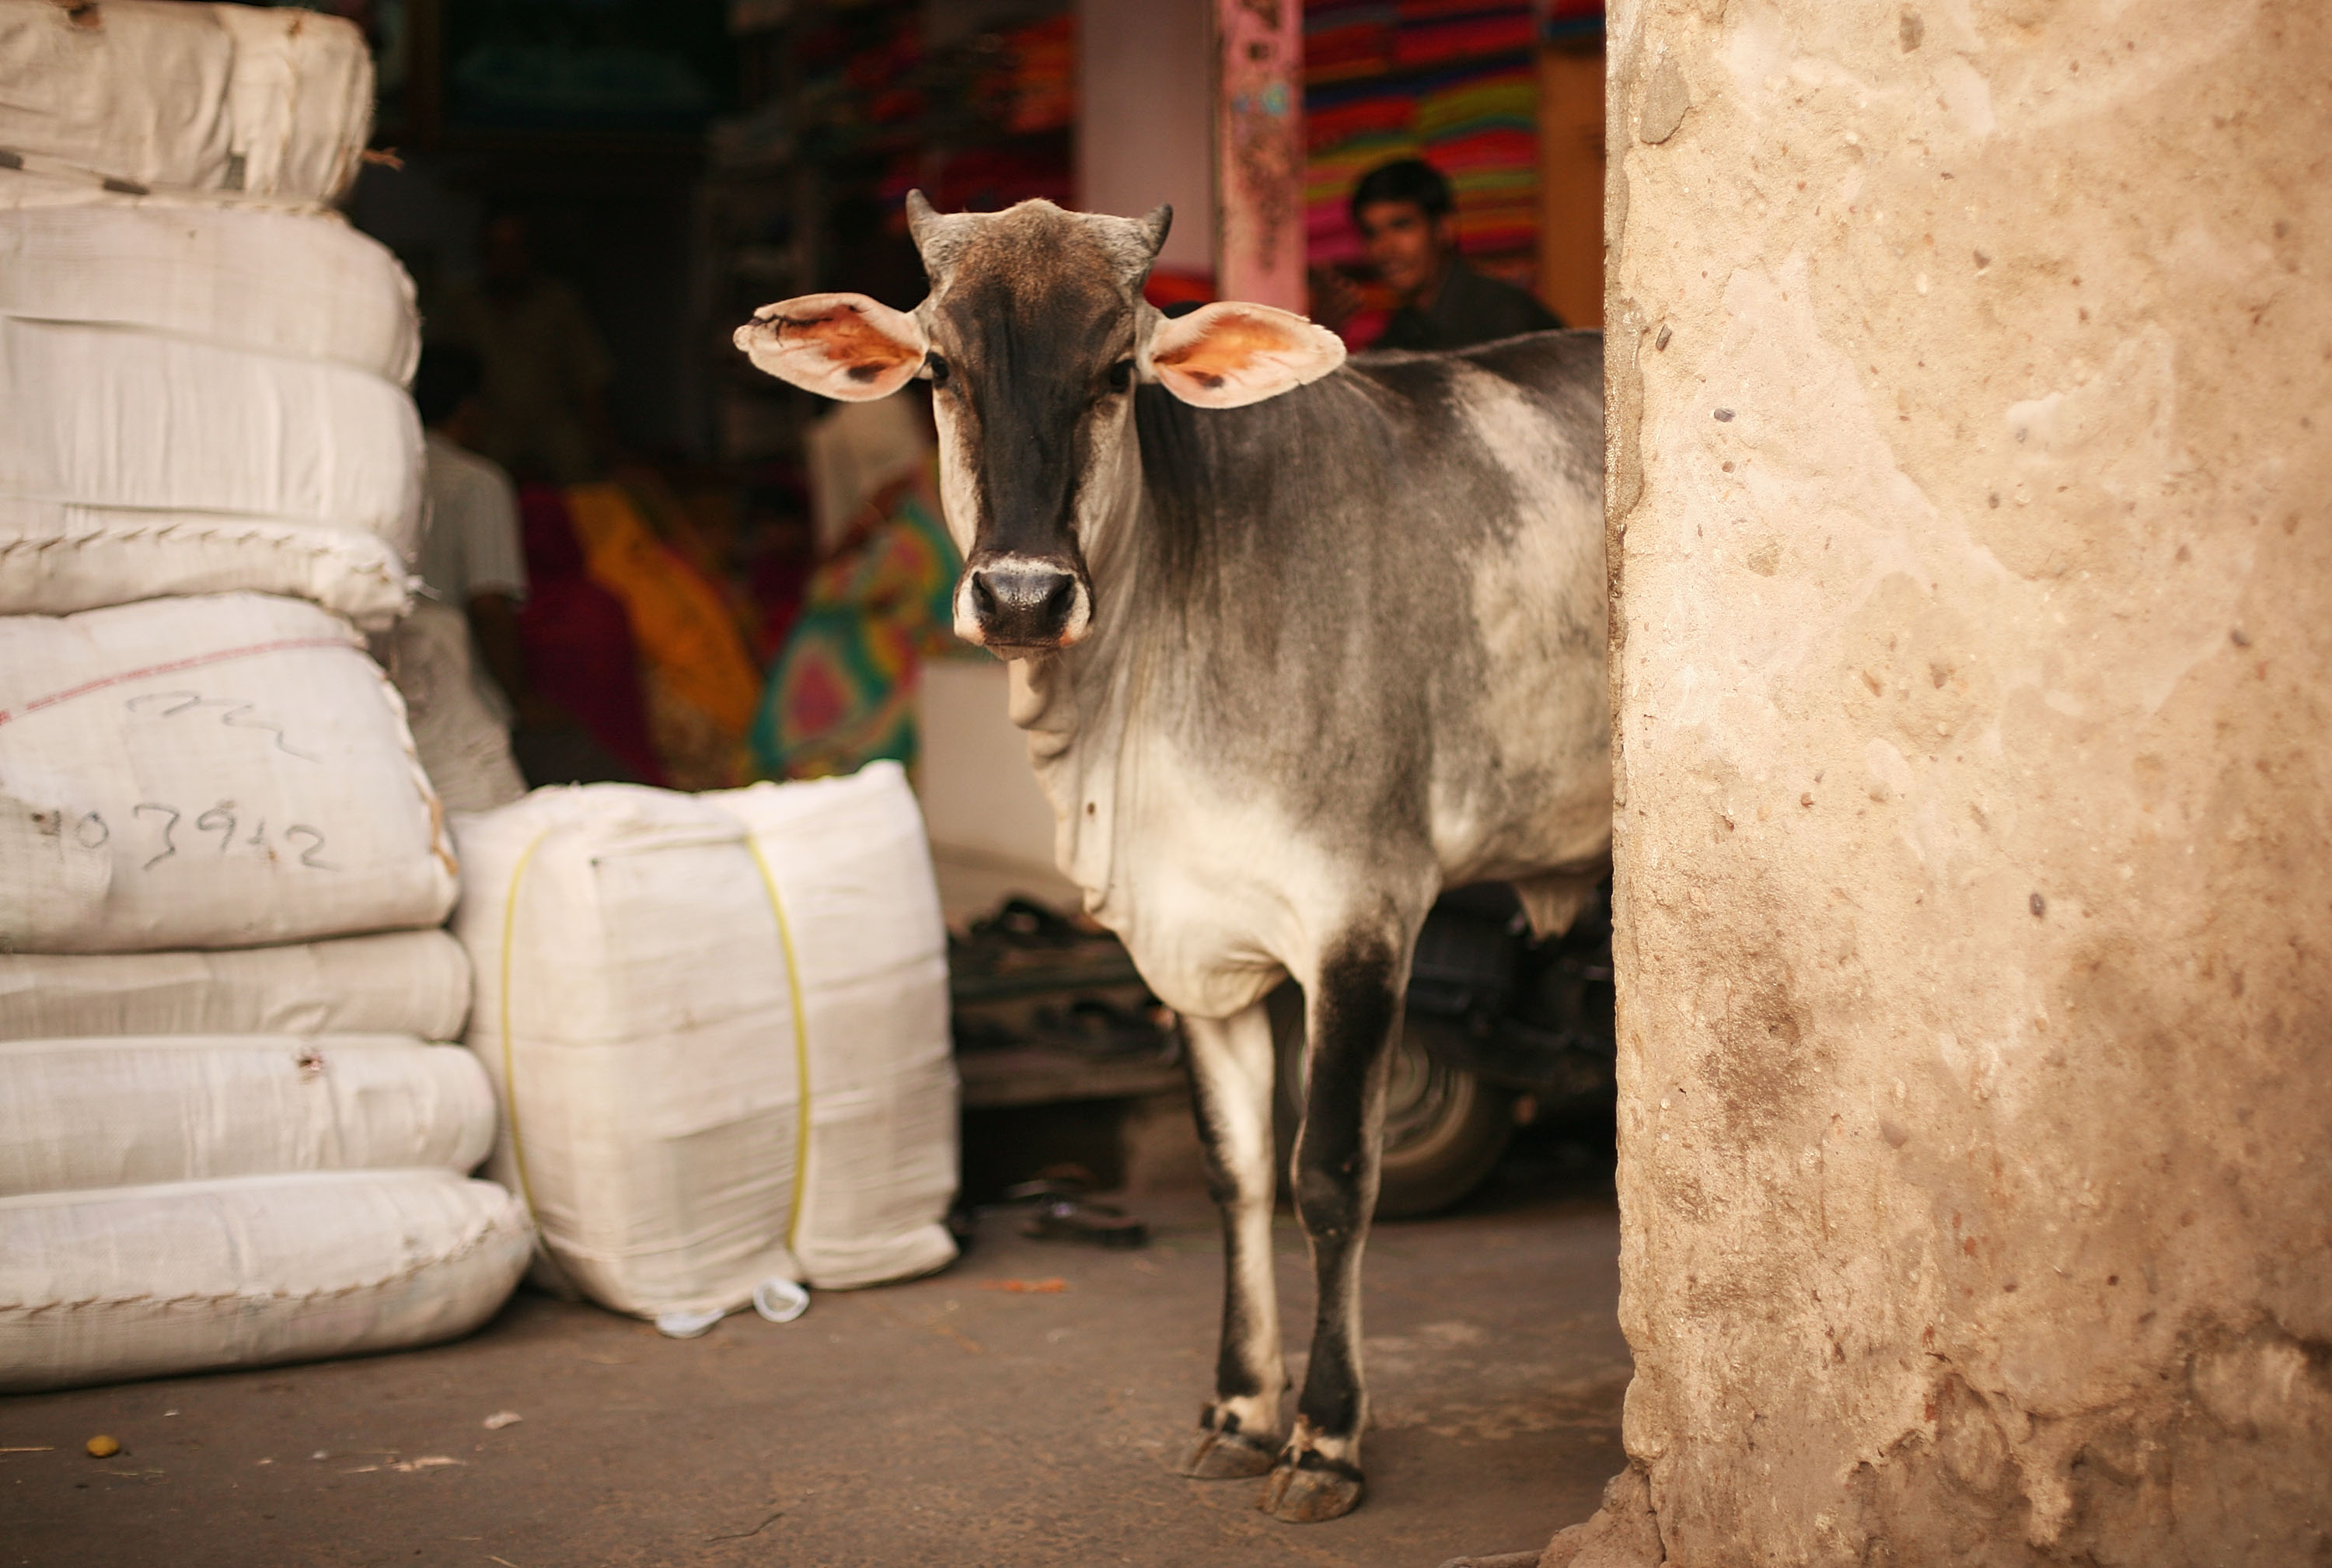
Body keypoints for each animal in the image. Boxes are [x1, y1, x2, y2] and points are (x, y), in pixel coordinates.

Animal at [737, 192, 1614, 1521]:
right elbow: (1238, 1171)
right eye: (940, 370)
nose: (1024, 596)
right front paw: (1242, 1409)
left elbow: (1329, 1173)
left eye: (1116, 373)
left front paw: (1325, 1438)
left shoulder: (1364, 918)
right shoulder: (1189, 947)